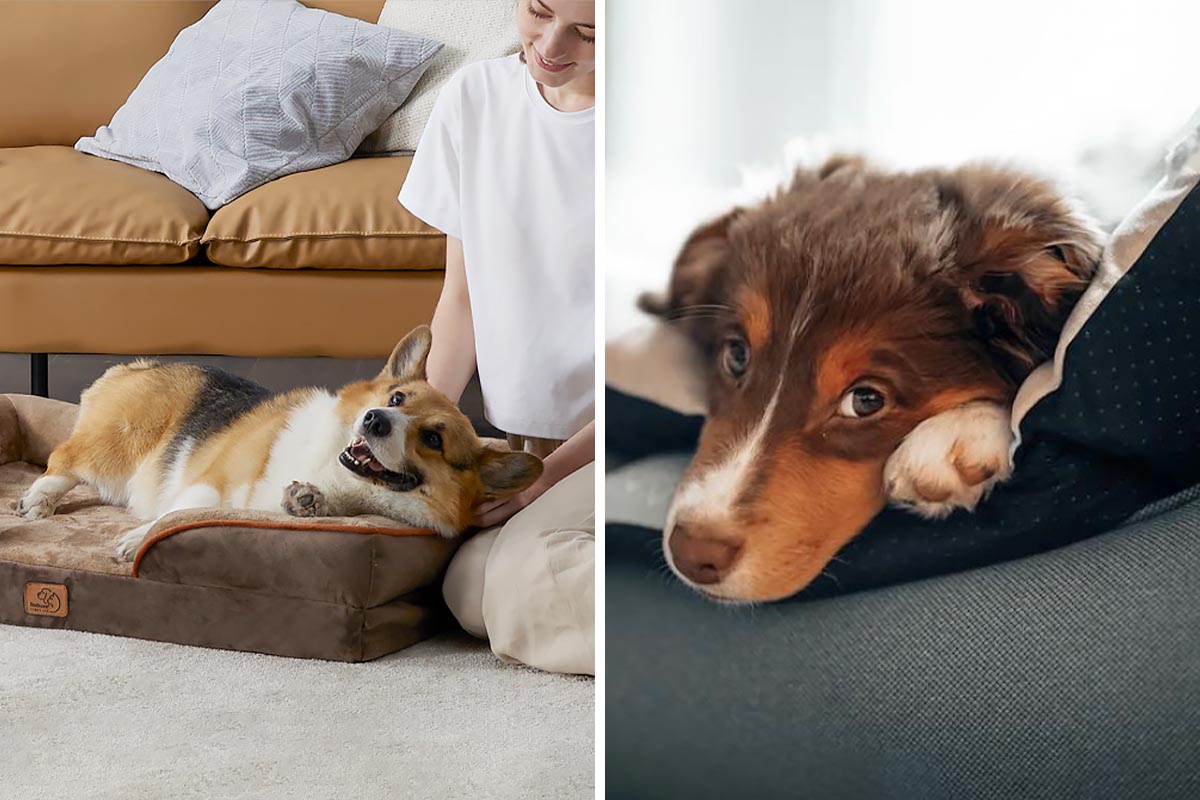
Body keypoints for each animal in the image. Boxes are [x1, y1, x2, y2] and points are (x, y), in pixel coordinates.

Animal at [17, 326, 544, 563]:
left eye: (433, 438)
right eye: (396, 398)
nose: (374, 419)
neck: (330, 467)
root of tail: (137, 364)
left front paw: (306, 501)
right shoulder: (210, 482)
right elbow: (178, 512)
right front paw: (135, 538)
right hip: (118, 445)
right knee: (63, 460)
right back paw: (37, 501)